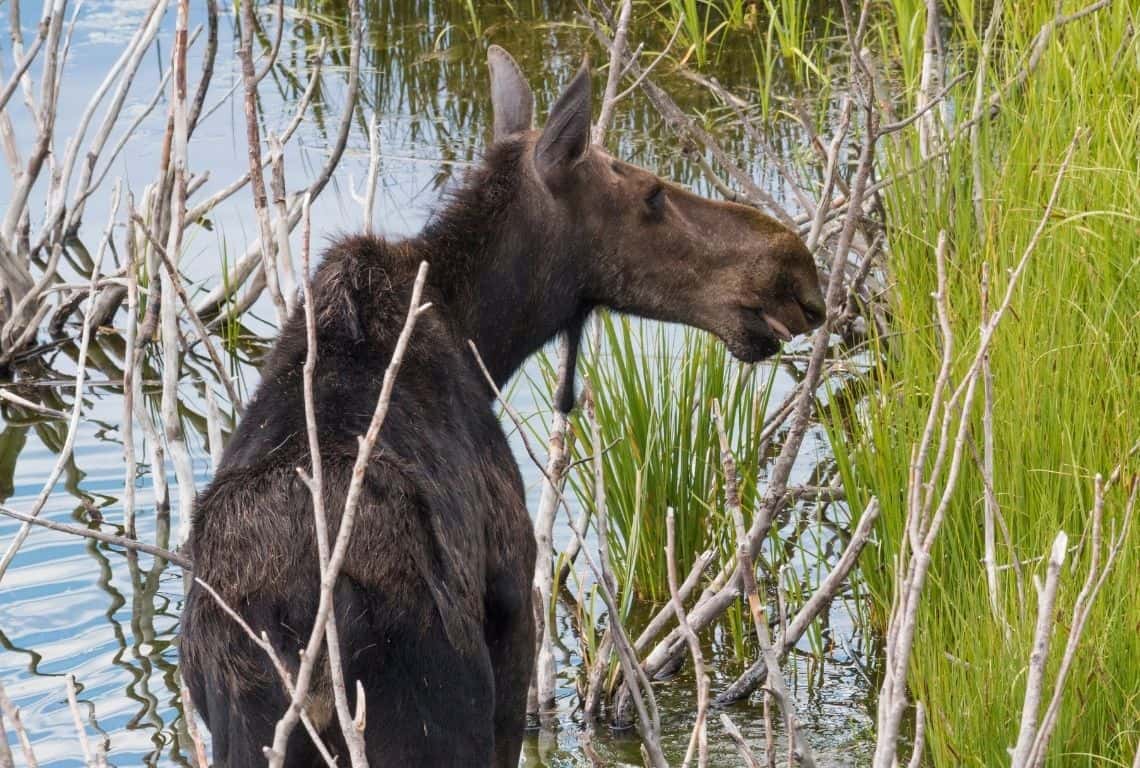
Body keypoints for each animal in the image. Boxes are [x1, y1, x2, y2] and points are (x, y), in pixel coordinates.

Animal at [177, 45, 825, 761]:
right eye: (652, 193)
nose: (792, 268)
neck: (478, 332)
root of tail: (308, 638)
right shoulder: (515, 610)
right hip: (441, 714)